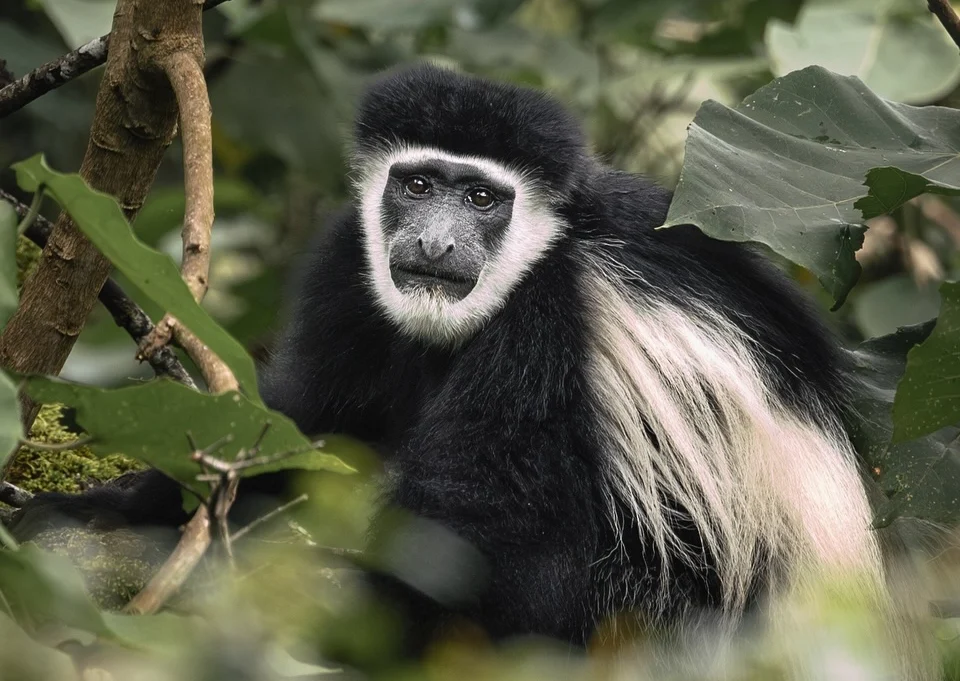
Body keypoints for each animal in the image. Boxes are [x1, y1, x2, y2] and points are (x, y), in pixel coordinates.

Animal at [7, 62, 937, 678]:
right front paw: (105, 505)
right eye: (418, 185)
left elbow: (469, 534)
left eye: (484, 198)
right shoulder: (351, 263)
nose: (436, 243)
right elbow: (310, 421)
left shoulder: (550, 321)